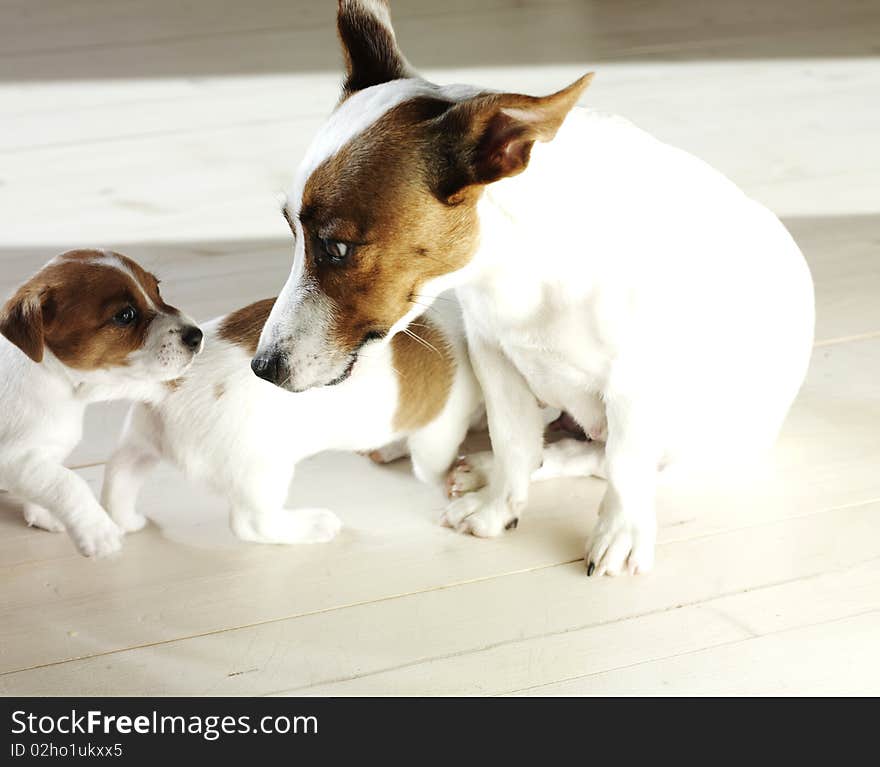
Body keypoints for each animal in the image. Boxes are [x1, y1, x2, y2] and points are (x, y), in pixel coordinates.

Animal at [0, 252, 201, 560]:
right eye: (125, 315)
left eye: (157, 289)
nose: (198, 336)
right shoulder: (14, 457)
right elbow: (68, 483)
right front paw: (98, 531)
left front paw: (42, 514)